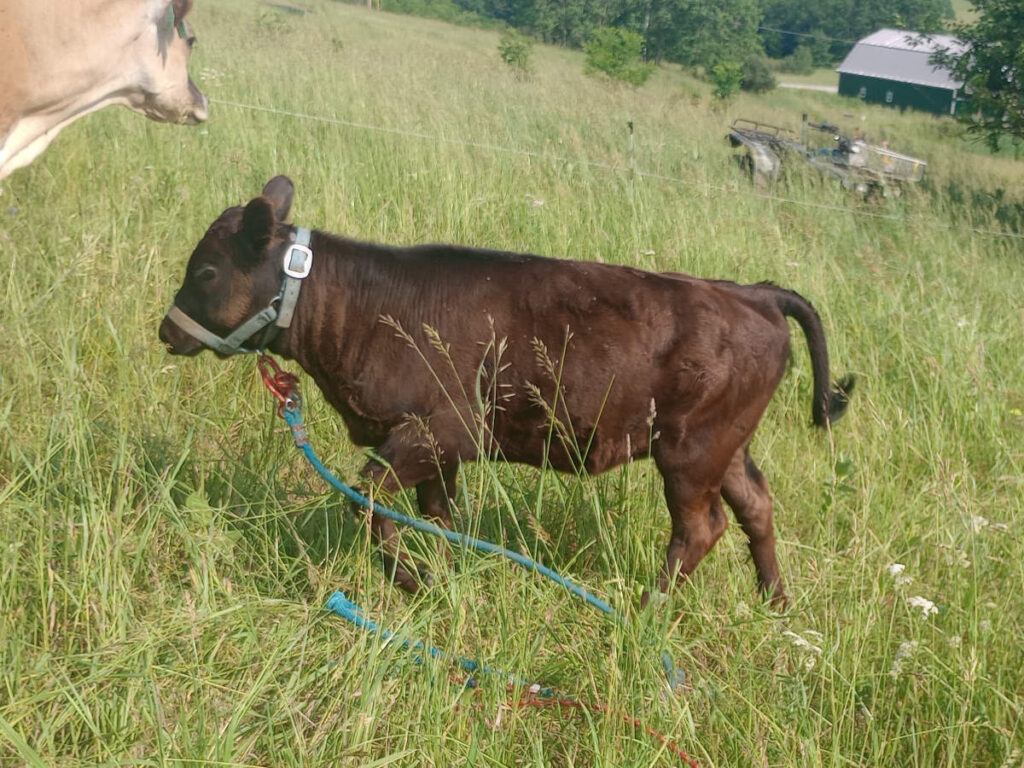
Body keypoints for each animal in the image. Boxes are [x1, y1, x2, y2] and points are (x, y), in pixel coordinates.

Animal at [159, 176, 854, 607]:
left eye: (207, 271)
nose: (167, 330)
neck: (360, 307)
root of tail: (753, 291)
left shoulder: (437, 431)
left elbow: (369, 498)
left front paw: (410, 582)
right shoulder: (434, 452)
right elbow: (437, 516)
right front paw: (441, 578)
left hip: (690, 451)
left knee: (701, 527)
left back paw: (644, 612)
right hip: (726, 447)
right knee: (755, 506)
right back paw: (774, 604)